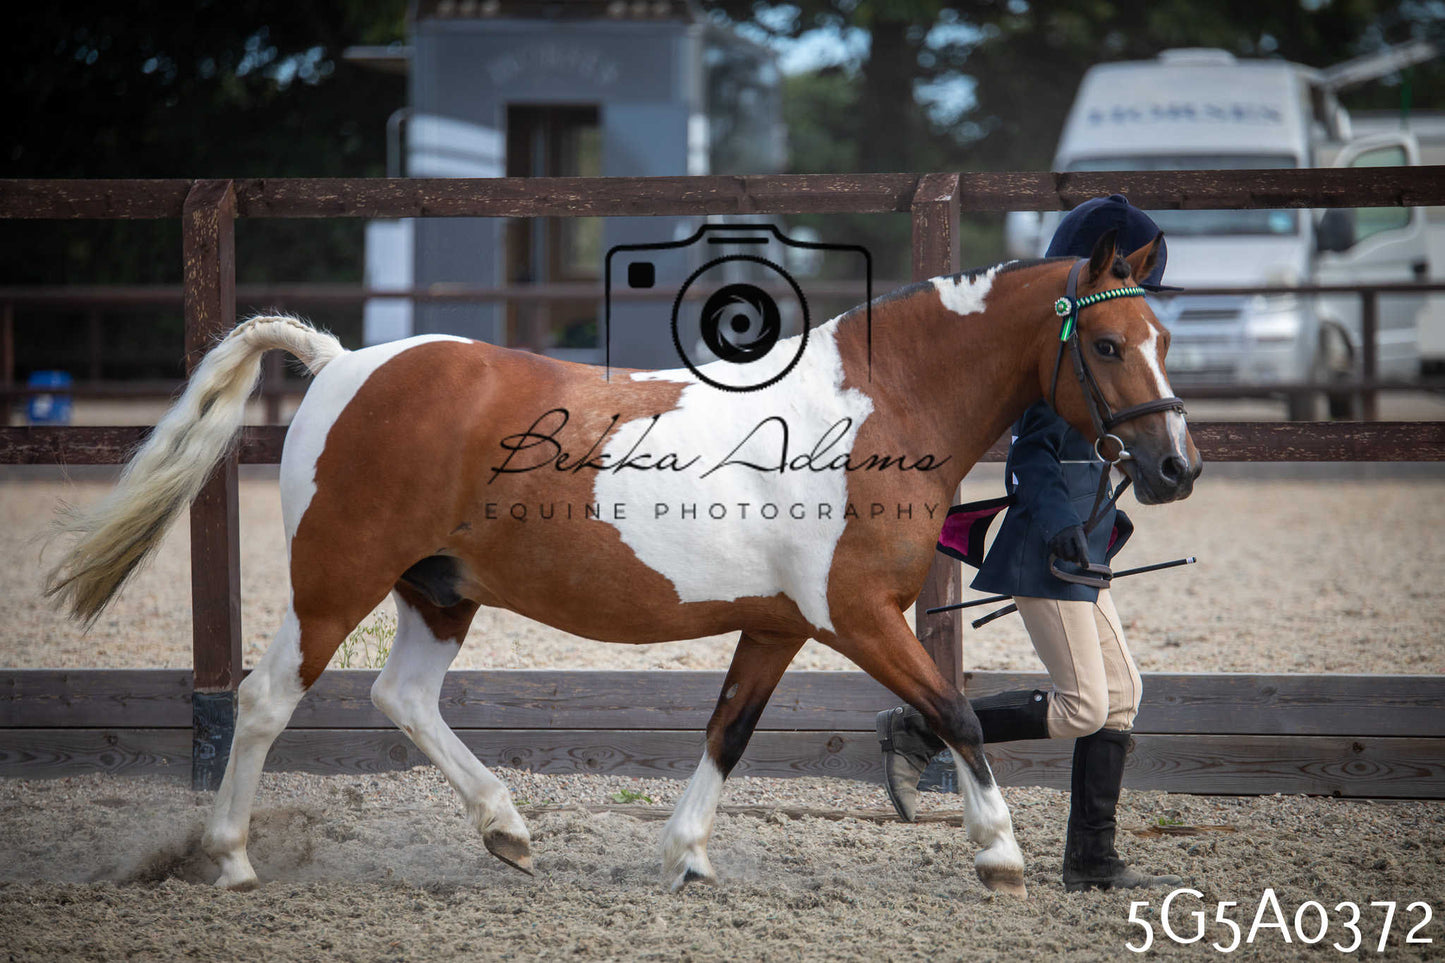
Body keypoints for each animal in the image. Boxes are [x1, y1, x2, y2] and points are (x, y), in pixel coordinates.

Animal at [45, 228, 1201, 897]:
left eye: (1162, 338)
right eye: (1106, 346)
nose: (1174, 467)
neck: (874, 408)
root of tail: (341, 363)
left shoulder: (776, 624)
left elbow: (728, 730)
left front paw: (685, 853)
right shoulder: (855, 615)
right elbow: (955, 710)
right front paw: (998, 854)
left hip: (438, 590)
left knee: (401, 698)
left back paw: (508, 831)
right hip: (337, 579)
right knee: (268, 699)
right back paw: (232, 859)